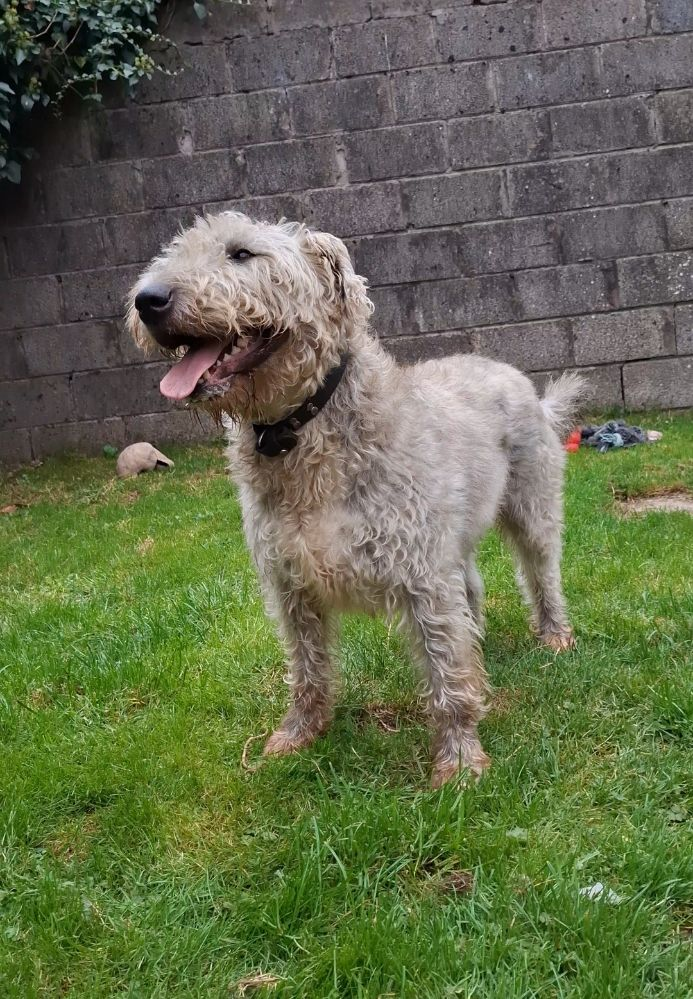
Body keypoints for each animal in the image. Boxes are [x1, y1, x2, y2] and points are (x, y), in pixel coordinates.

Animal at [127, 212, 582, 787]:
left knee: (542, 573)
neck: (302, 432)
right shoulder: (290, 583)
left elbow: (445, 670)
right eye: (176, 249)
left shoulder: (422, 575)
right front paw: (300, 731)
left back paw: (555, 634)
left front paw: (459, 759)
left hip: (531, 508)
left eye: (242, 253)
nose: (148, 299)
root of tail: (523, 384)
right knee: (473, 586)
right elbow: (307, 666)